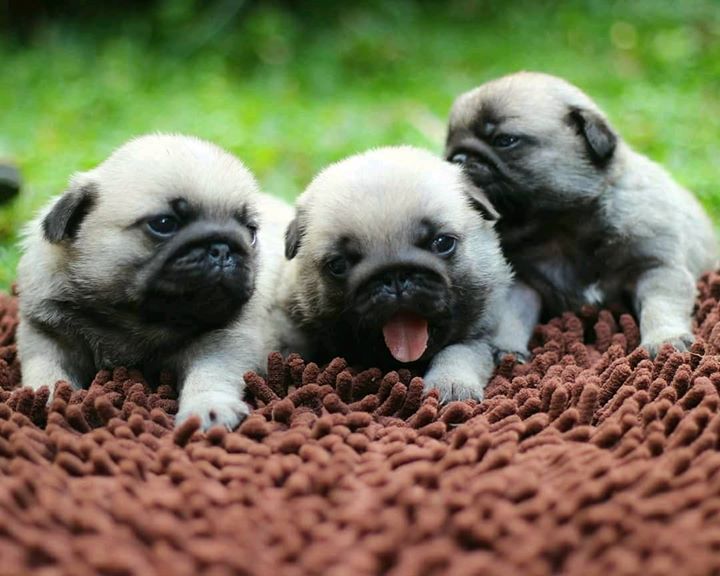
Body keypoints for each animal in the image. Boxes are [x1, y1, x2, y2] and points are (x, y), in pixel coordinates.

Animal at [16, 135, 292, 430]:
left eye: (250, 233)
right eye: (163, 224)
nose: (223, 248)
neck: (134, 318)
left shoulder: (226, 341)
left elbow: (209, 375)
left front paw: (207, 409)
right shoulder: (46, 334)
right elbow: (46, 371)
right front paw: (47, 400)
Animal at [282, 146, 512, 402]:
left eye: (442, 243)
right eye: (338, 265)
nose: (394, 276)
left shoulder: (481, 335)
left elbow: (458, 352)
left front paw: (451, 383)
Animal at [448, 72, 716, 360]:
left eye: (505, 140)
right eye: (450, 149)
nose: (458, 158)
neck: (562, 224)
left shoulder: (656, 268)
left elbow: (660, 306)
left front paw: (665, 339)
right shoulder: (523, 283)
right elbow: (512, 317)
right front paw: (506, 350)